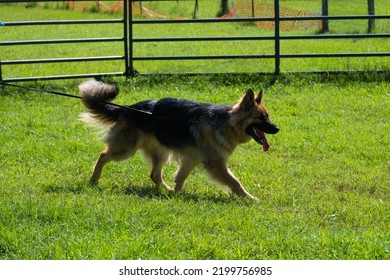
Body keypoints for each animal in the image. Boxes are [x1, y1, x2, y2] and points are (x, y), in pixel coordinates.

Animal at [79, 80, 278, 200]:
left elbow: (180, 178)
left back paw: (166, 190)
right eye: (261, 118)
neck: (226, 122)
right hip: (126, 149)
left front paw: (176, 195)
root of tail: (128, 108)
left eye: (267, 116)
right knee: (103, 155)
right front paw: (250, 198)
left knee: (154, 175)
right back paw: (94, 179)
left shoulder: (190, 159)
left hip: (161, 153)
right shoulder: (216, 164)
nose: (277, 129)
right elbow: (235, 182)